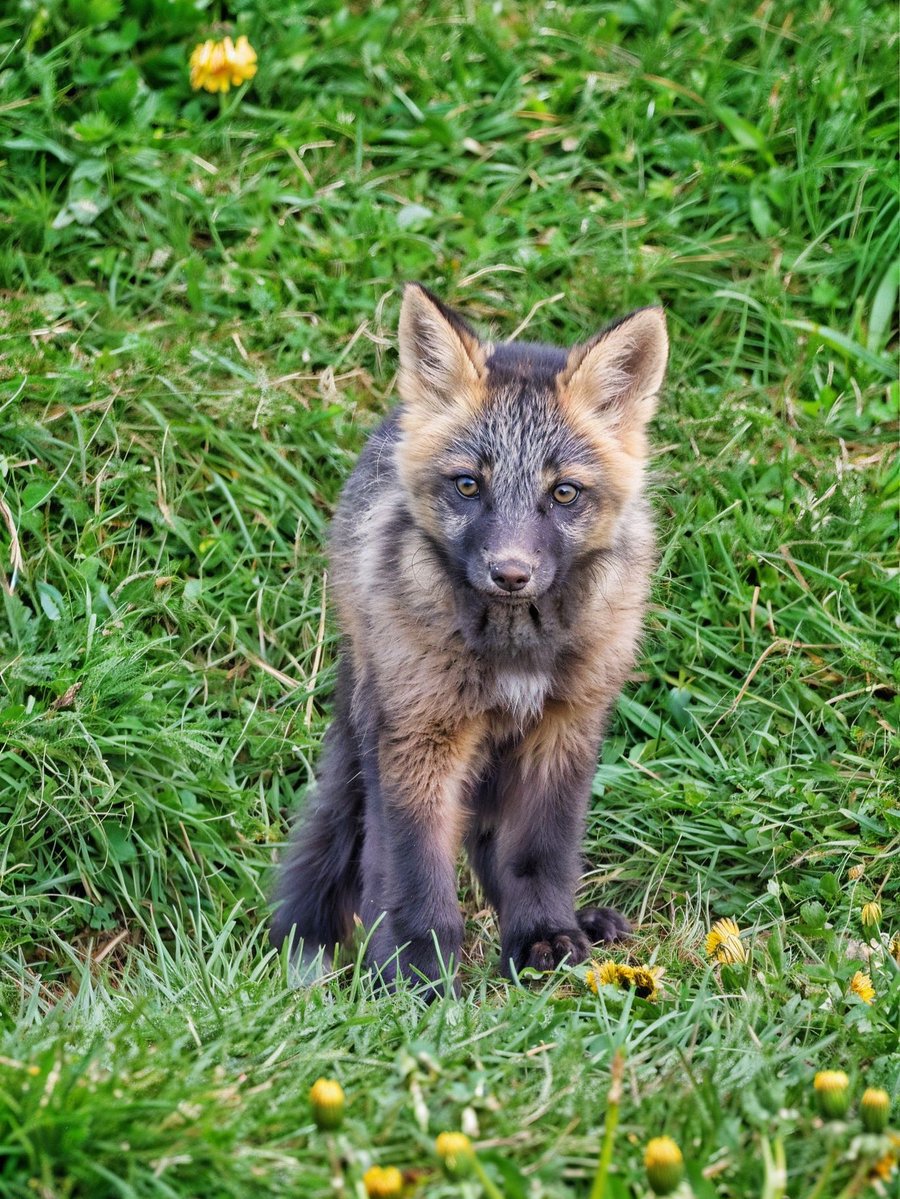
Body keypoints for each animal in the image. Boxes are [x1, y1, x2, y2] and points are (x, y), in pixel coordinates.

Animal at [270, 284, 669, 993]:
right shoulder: (420, 734)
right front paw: (417, 975)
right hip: (368, 728)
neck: (513, 655)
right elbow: (414, 871)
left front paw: (543, 938)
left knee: (489, 846)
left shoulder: (564, 727)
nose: (510, 574)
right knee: (348, 843)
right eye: (468, 485)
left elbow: (538, 853)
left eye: (563, 493)